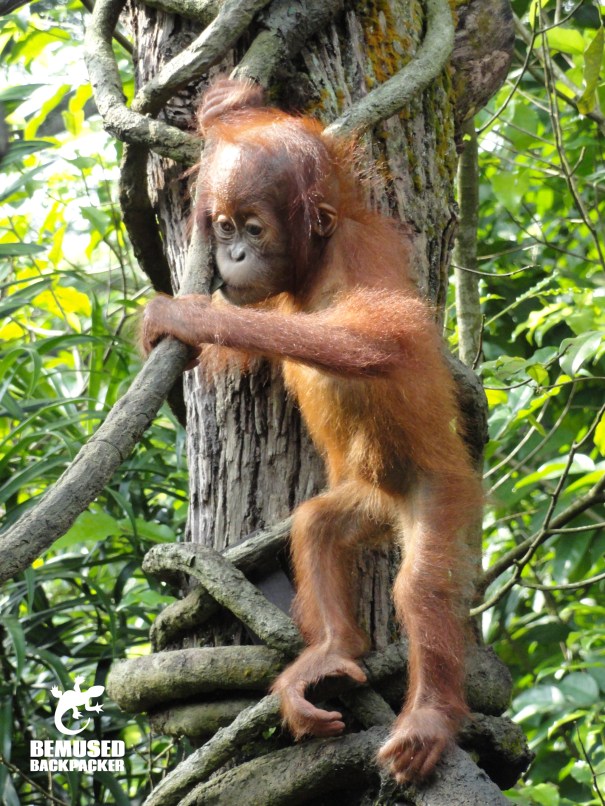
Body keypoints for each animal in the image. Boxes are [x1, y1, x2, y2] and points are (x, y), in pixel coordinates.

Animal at [141, 79, 483, 784]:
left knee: (422, 584)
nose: (232, 254)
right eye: (223, 226)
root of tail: (392, 505)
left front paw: (180, 315)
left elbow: (376, 342)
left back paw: (429, 720)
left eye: (253, 228)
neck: (315, 268)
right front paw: (225, 104)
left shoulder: (362, 261)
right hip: (362, 501)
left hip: (443, 489)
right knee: (317, 526)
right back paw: (330, 652)